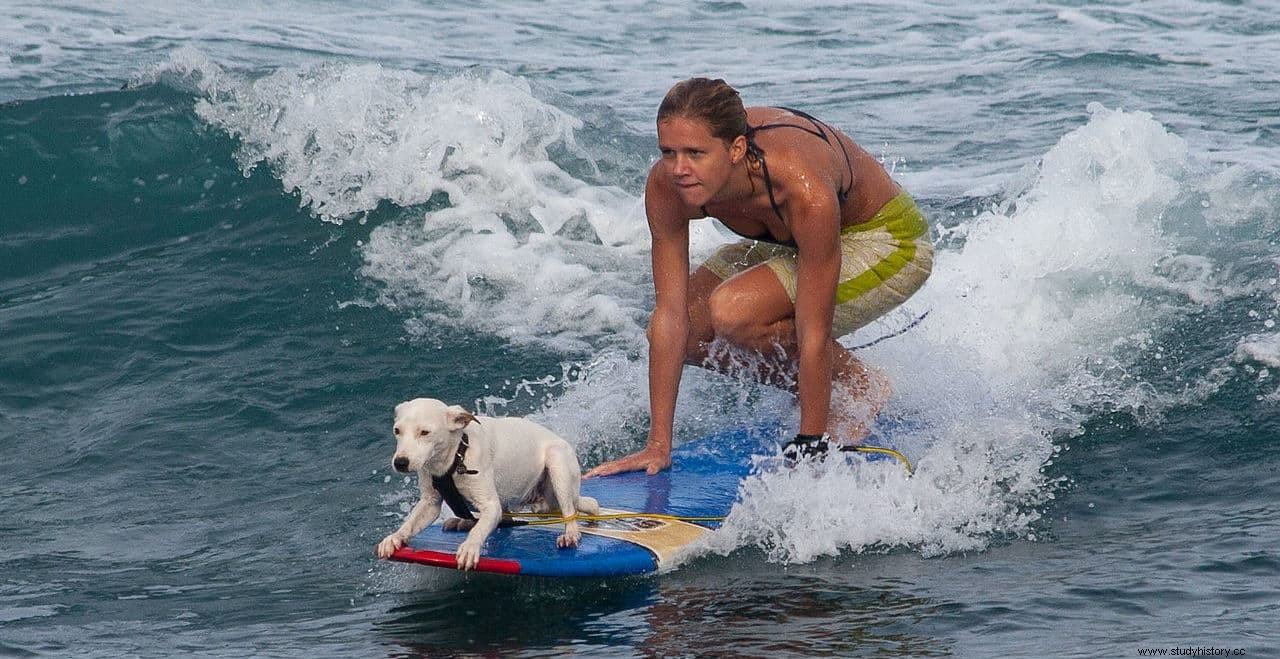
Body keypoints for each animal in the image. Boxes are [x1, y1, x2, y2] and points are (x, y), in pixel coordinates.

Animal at [371, 396, 599, 573]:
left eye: (425, 432)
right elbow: (410, 523)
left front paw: (470, 548)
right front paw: (395, 538)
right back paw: (463, 521)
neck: (455, 458)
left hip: (557, 464)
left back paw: (571, 533)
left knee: (571, 509)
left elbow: (479, 530)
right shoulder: (430, 502)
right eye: (397, 430)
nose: (400, 462)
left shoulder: (491, 505)